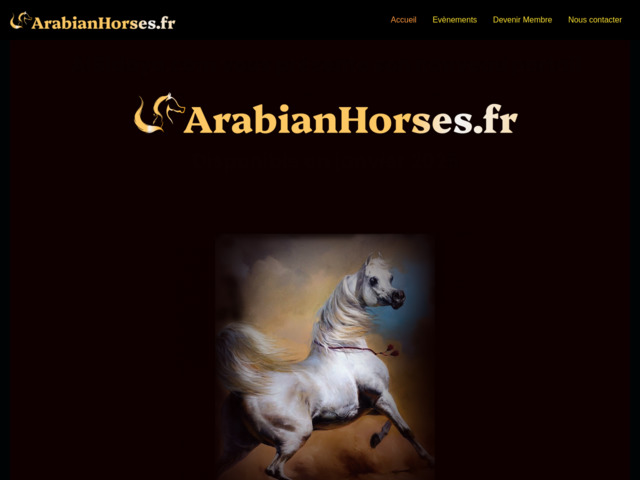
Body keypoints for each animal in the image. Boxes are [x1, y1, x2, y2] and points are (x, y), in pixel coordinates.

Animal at [216, 254, 435, 480]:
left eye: (390, 277)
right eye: (373, 279)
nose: (399, 296)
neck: (347, 351)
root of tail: (243, 389)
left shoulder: (373, 404)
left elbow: (393, 423)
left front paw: (375, 439)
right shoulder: (382, 395)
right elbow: (406, 430)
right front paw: (429, 460)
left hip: (238, 447)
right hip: (296, 436)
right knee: (274, 468)